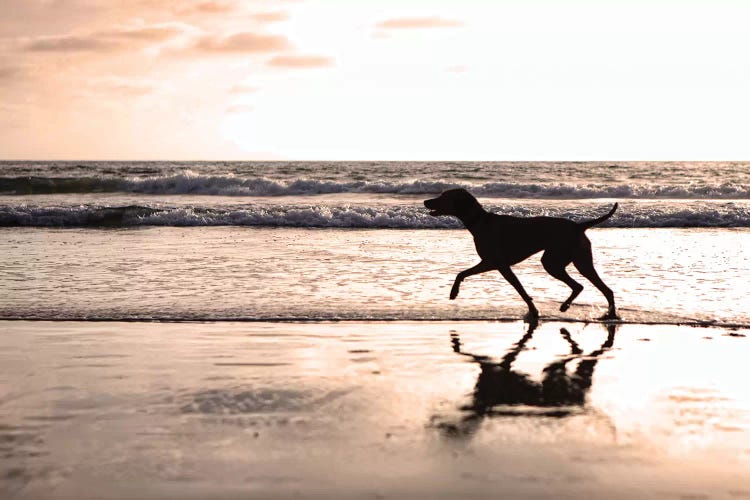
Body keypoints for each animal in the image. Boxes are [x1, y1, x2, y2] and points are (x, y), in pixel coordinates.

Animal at [426, 189, 620, 322]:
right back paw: (609, 314)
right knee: (602, 288)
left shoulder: (495, 263)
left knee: (580, 285)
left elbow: (518, 289)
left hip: (553, 261)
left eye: (443, 196)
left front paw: (453, 292)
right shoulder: (497, 264)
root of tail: (579, 226)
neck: (479, 221)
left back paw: (572, 307)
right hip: (581, 261)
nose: (426, 201)